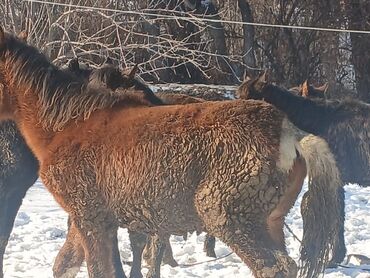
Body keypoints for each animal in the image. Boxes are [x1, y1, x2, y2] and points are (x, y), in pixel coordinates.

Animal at [0, 28, 306, 278]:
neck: (65, 125)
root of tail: (290, 136)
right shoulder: (98, 221)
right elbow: (77, 265)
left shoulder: (89, 218)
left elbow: (98, 268)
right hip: (271, 223)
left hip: (231, 221)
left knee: (273, 268)